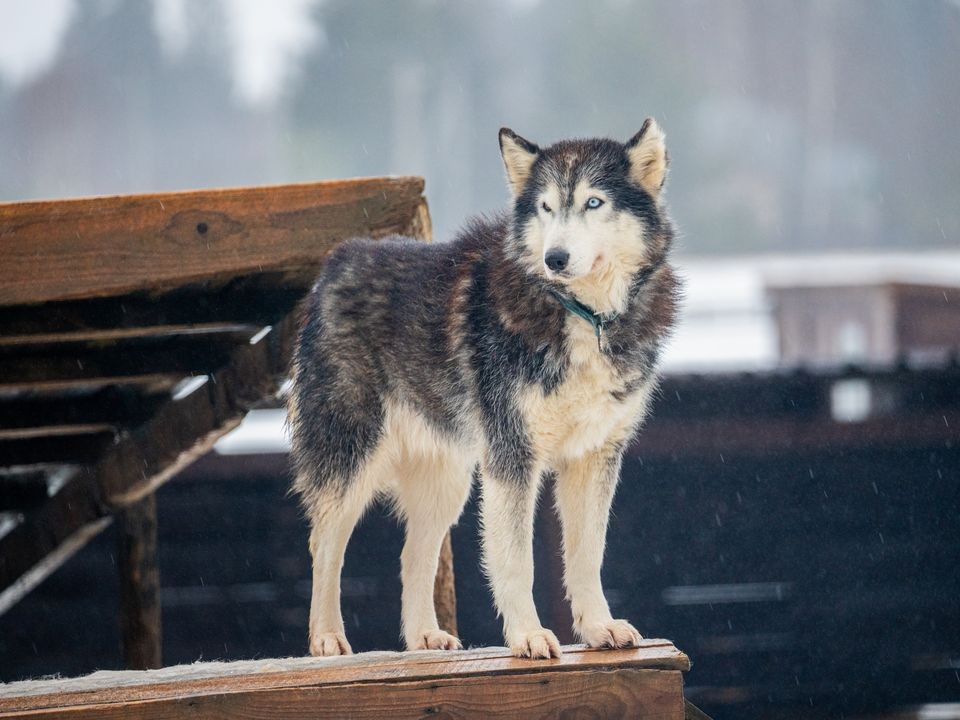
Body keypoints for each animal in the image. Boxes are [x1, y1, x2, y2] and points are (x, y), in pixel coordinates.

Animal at [288, 119, 680, 660]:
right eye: (546, 208)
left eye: (593, 202)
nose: (554, 258)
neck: (584, 315)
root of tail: (337, 260)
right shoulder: (512, 457)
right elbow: (517, 561)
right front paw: (528, 636)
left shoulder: (594, 456)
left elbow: (587, 556)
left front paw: (600, 628)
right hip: (352, 459)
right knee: (324, 545)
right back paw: (327, 637)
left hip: (448, 481)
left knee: (413, 555)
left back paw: (424, 638)